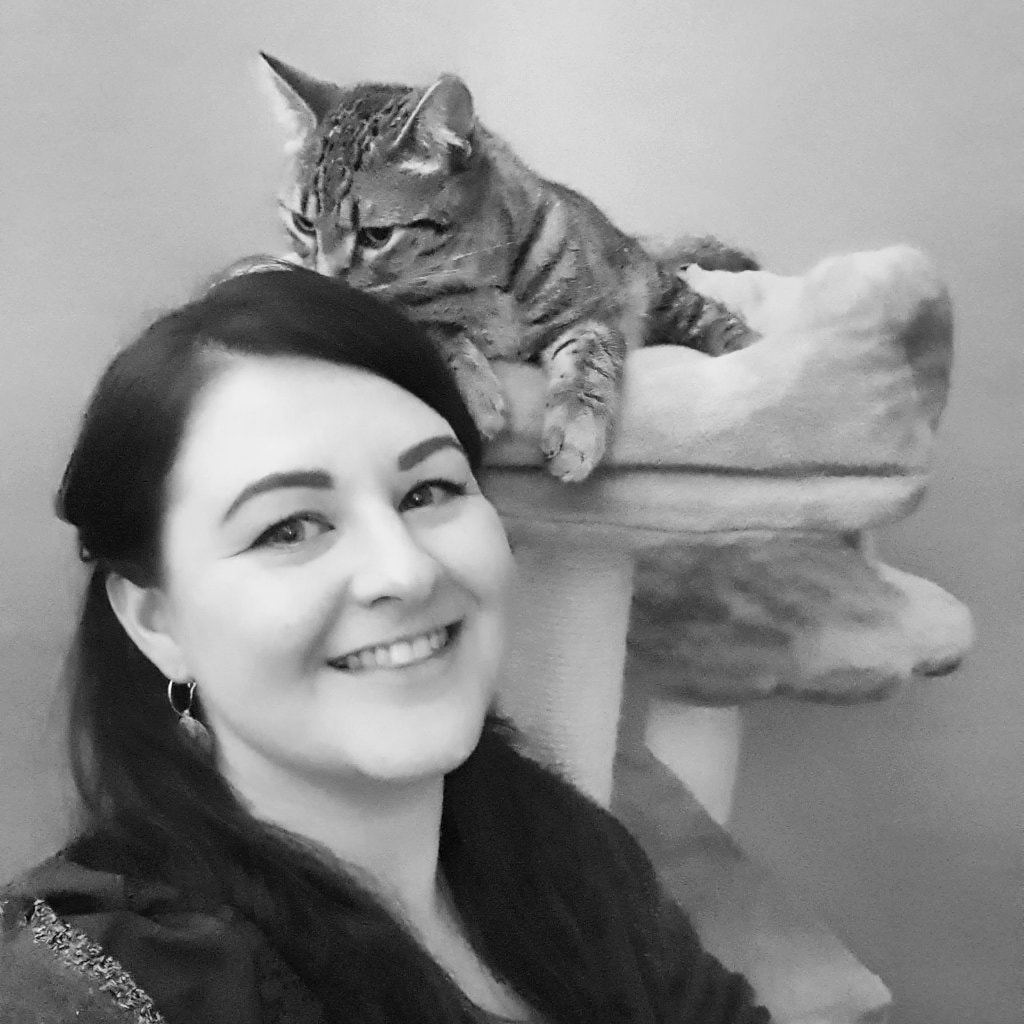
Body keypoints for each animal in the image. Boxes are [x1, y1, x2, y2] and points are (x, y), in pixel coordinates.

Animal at [259, 53, 758, 482]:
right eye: (303, 223)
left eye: (375, 236)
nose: (326, 281)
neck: (476, 277)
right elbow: (433, 332)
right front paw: (476, 393)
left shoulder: (590, 317)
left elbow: (589, 366)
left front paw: (576, 431)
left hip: (660, 293)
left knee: (714, 319)